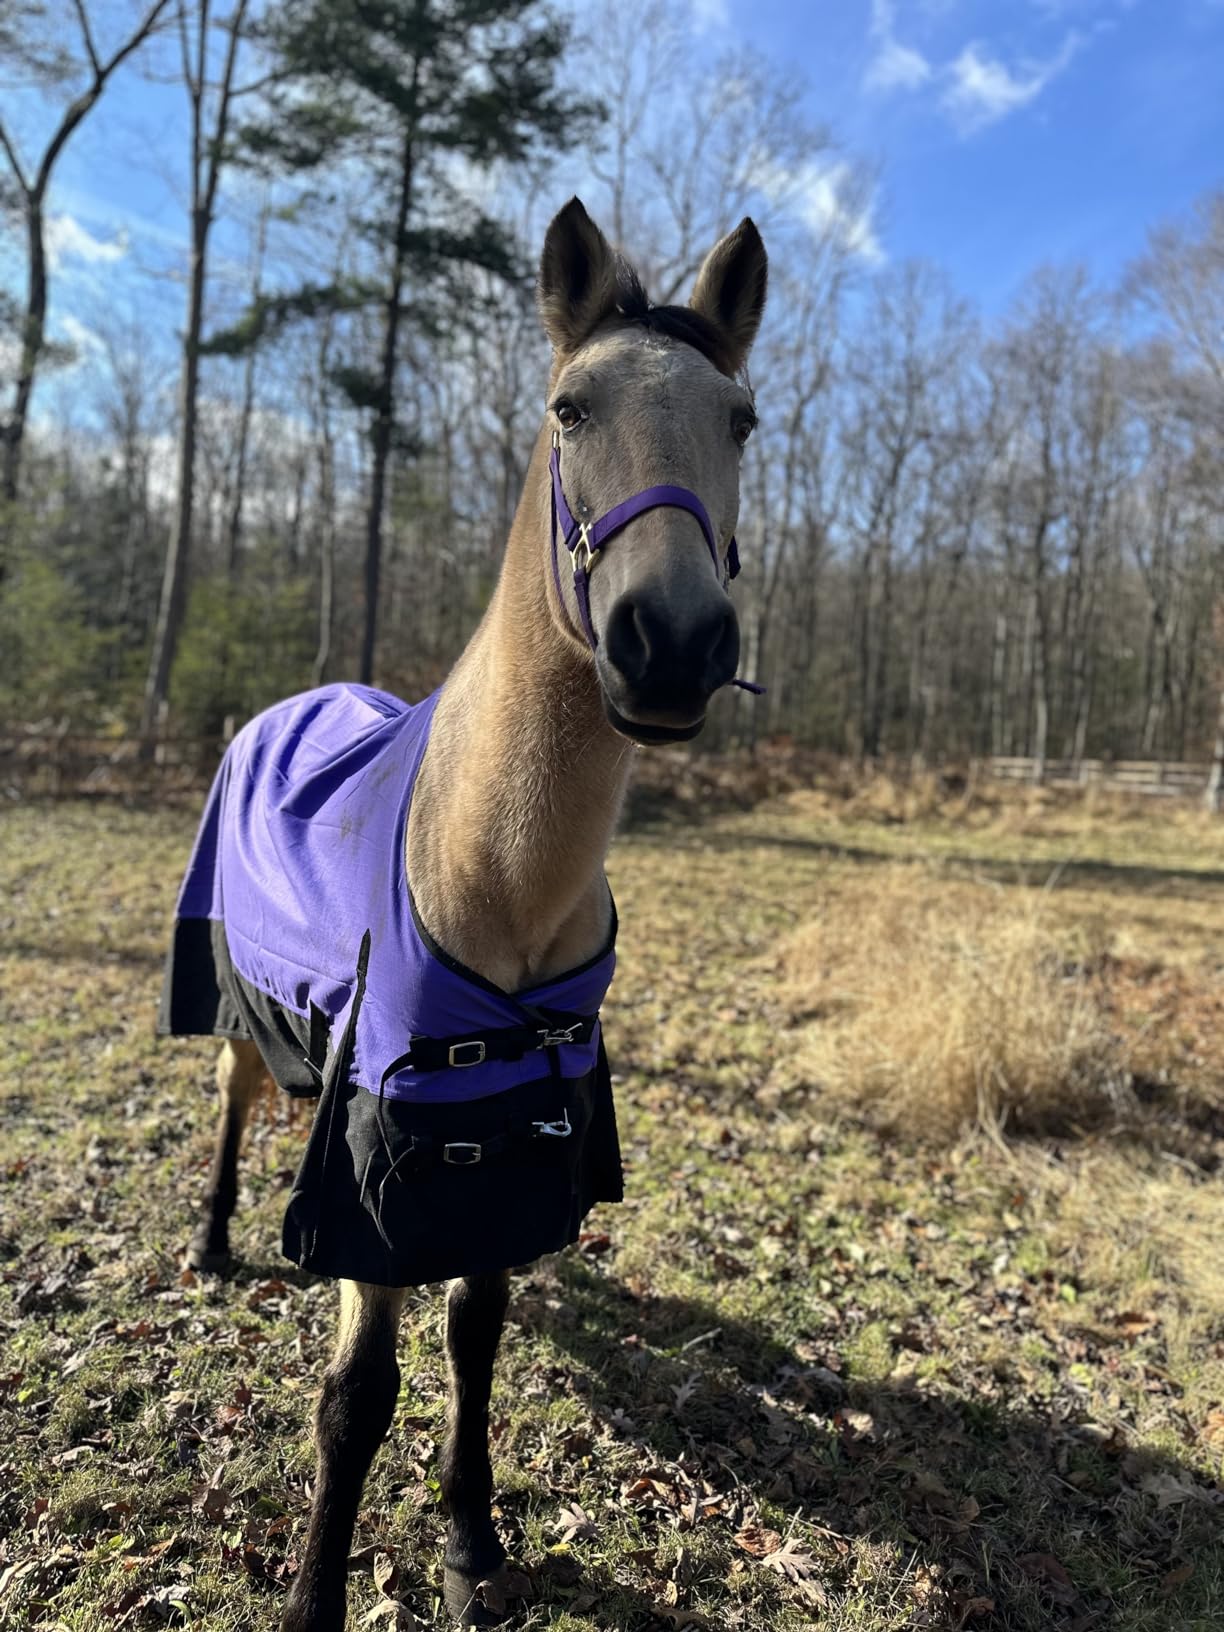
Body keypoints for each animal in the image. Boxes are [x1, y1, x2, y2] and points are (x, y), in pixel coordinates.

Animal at [159, 197, 767, 1631]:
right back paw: (214, 1241)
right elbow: (357, 1398)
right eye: (569, 408)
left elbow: (475, 1334)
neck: (497, 875)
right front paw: (317, 1599)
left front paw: (474, 1538)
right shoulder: (379, 1153)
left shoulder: (519, 1124)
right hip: (237, 1004)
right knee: (229, 1099)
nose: (671, 643)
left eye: (741, 421)